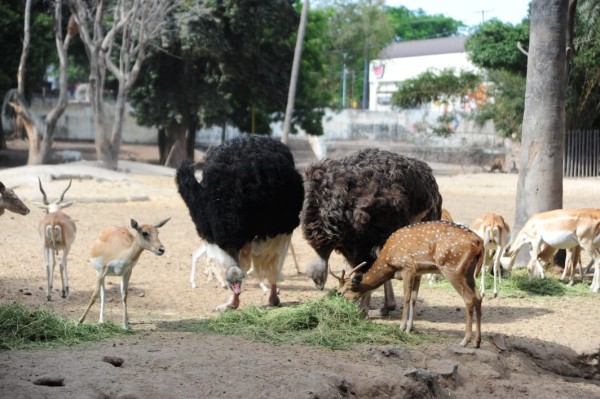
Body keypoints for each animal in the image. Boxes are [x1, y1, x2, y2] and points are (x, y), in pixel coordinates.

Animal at [330, 220, 486, 348]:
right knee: (478, 297)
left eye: (340, 292)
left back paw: (465, 340)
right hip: (468, 273)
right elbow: (413, 299)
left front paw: (401, 327)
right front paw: (409, 328)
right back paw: (477, 341)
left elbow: (406, 298)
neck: (388, 261)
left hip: (453, 268)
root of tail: (479, 242)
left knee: (469, 298)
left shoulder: (407, 268)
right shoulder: (418, 273)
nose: (339, 305)